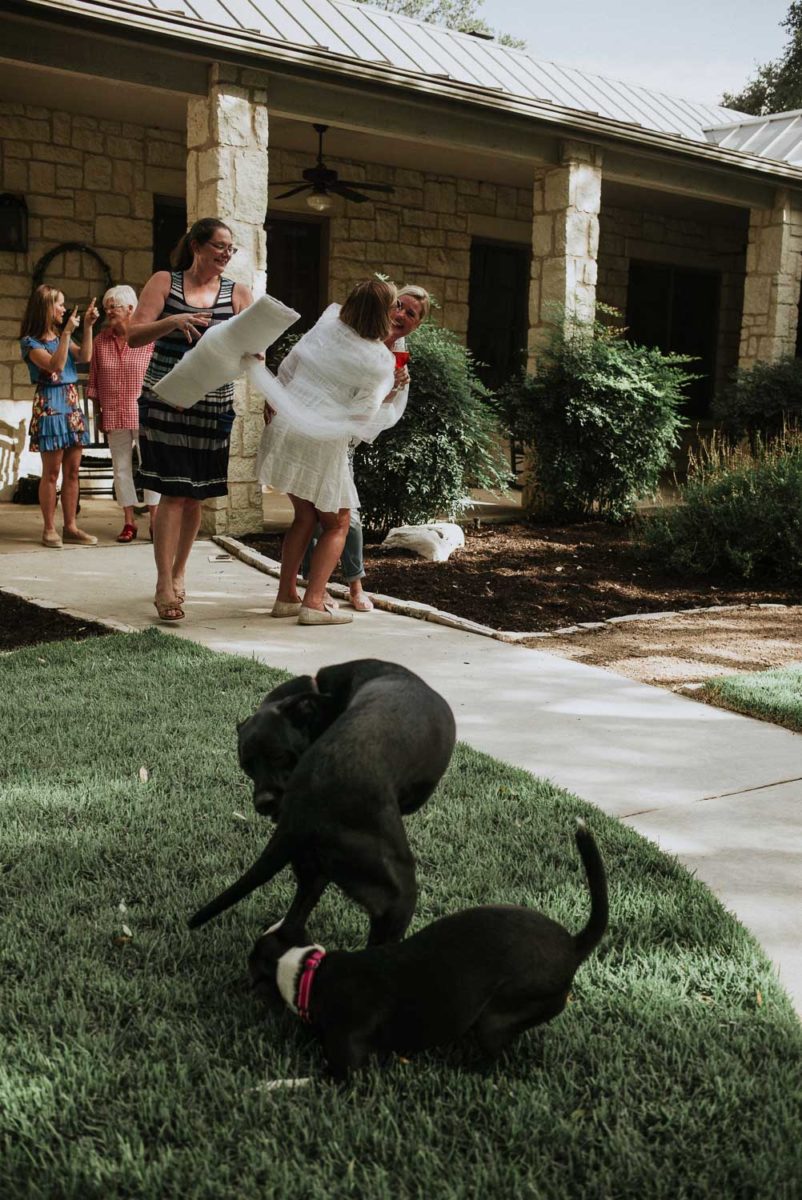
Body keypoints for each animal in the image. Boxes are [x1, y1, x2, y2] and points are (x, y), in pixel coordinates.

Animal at [184, 657, 453, 945]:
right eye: (248, 765)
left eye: (278, 756)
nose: (264, 803)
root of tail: (302, 812)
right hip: (396, 894)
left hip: (315, 874)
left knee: (292, 923)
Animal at [247, 820, 605, 1084]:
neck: (309, 971)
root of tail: (573, 944)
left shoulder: (346, 1071)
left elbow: (300, 1081)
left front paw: (261, 1087)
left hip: (497, 1017)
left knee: (495, 1059)